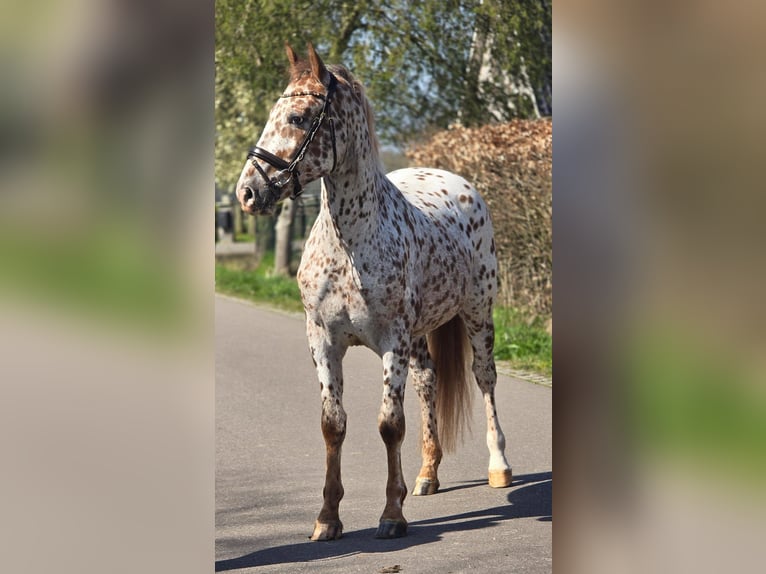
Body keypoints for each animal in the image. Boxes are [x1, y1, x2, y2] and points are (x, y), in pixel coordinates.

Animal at [234, 43, 512, 541]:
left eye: (300, 118)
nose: (247, 192)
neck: (349, 245)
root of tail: (458, 181)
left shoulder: (391, 343)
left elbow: (389, 425)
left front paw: (391, 514)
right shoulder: (323, 341)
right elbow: (333, 425)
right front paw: (328, 518)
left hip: (477, 314)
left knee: (485, 378)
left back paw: (499, 466)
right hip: (421, 337)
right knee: (428, 382)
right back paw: (427, 475)